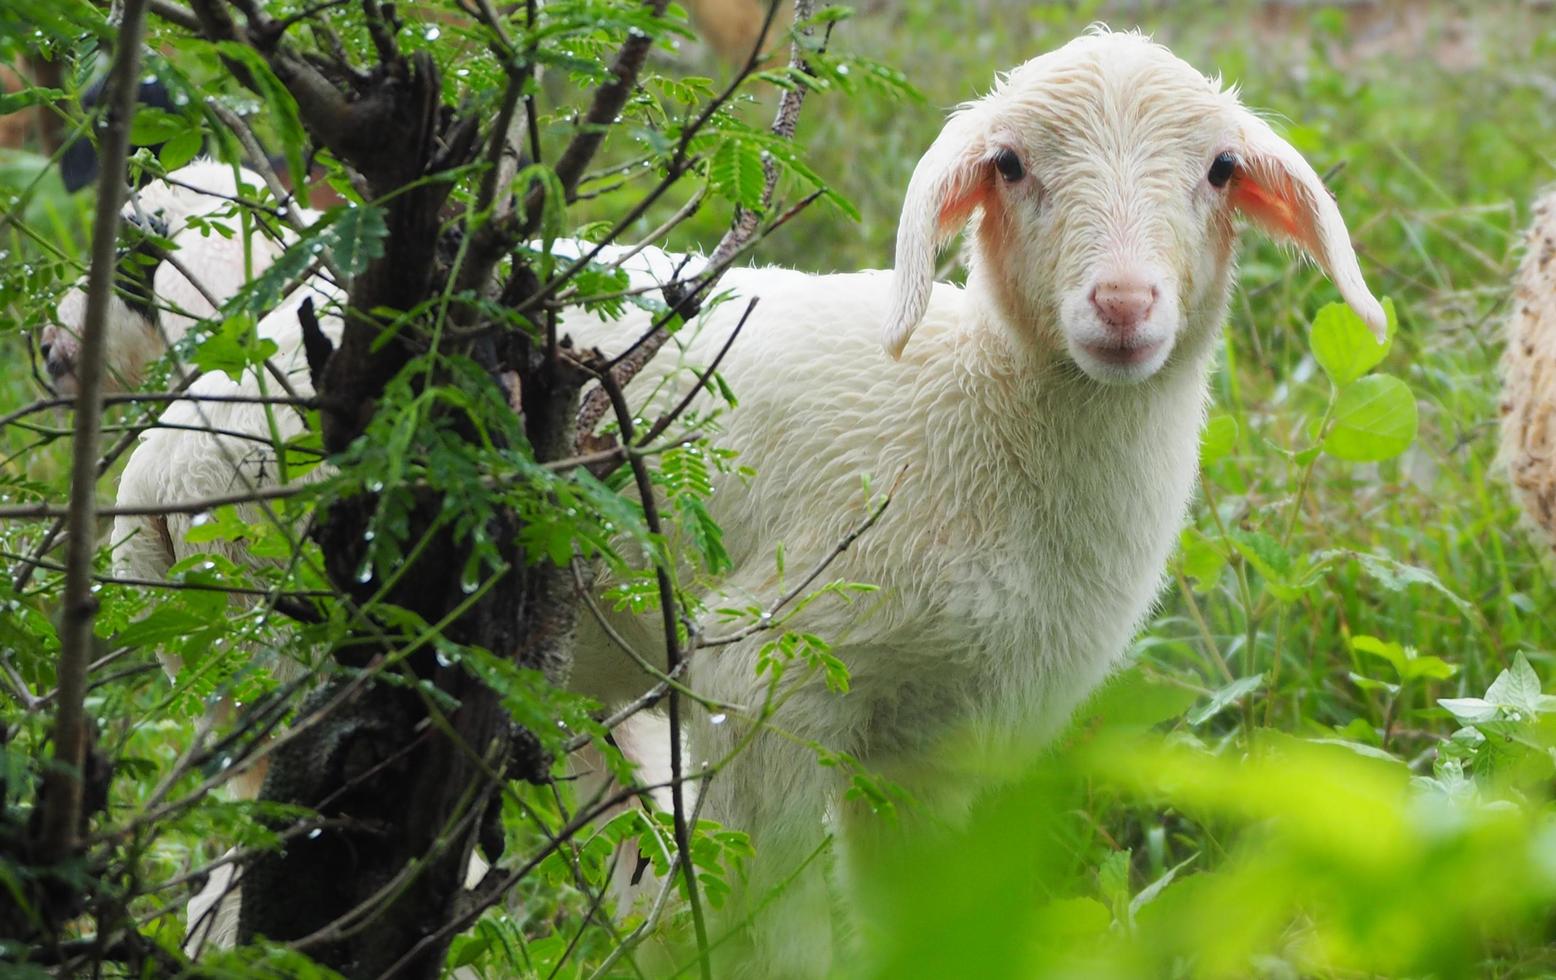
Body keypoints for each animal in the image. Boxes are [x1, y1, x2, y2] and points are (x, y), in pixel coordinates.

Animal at [560, 26, 1387, 976]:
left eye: (1220, 168)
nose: (1123, 303)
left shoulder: (931, 746)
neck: (972, 411)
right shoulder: (763, 673)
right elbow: (771, 935)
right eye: (1010, 164)